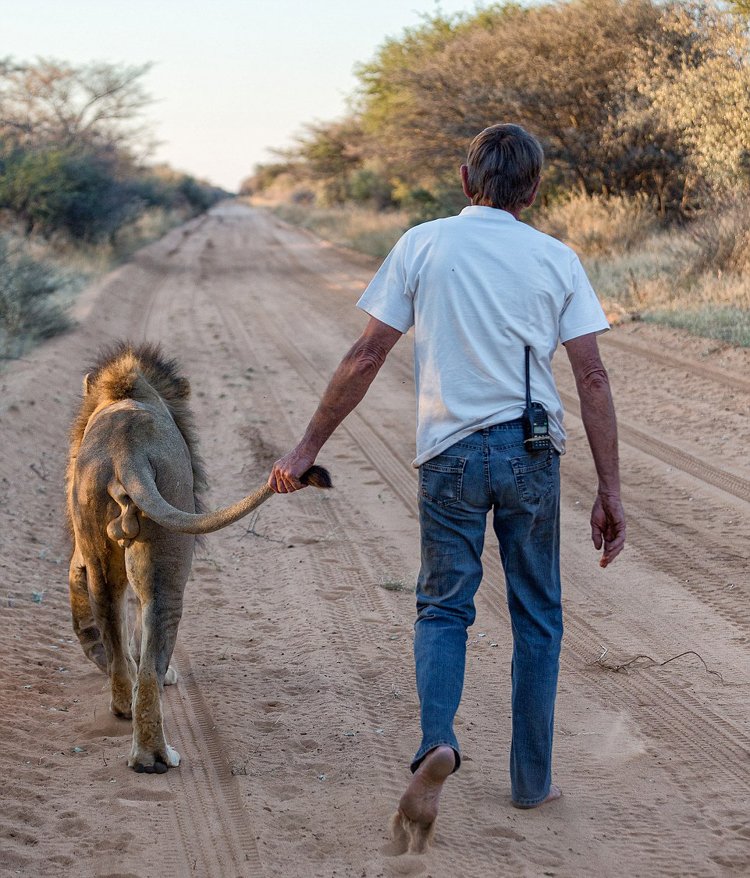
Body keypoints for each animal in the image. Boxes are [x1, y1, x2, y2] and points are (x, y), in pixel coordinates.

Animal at [66, 340, 330, 772]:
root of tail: (127, 453)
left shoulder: (83, 548)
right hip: (169, 552)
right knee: (152, 654)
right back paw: (153, 756)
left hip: (99, 540)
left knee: (112, 620)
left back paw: (122, 704)